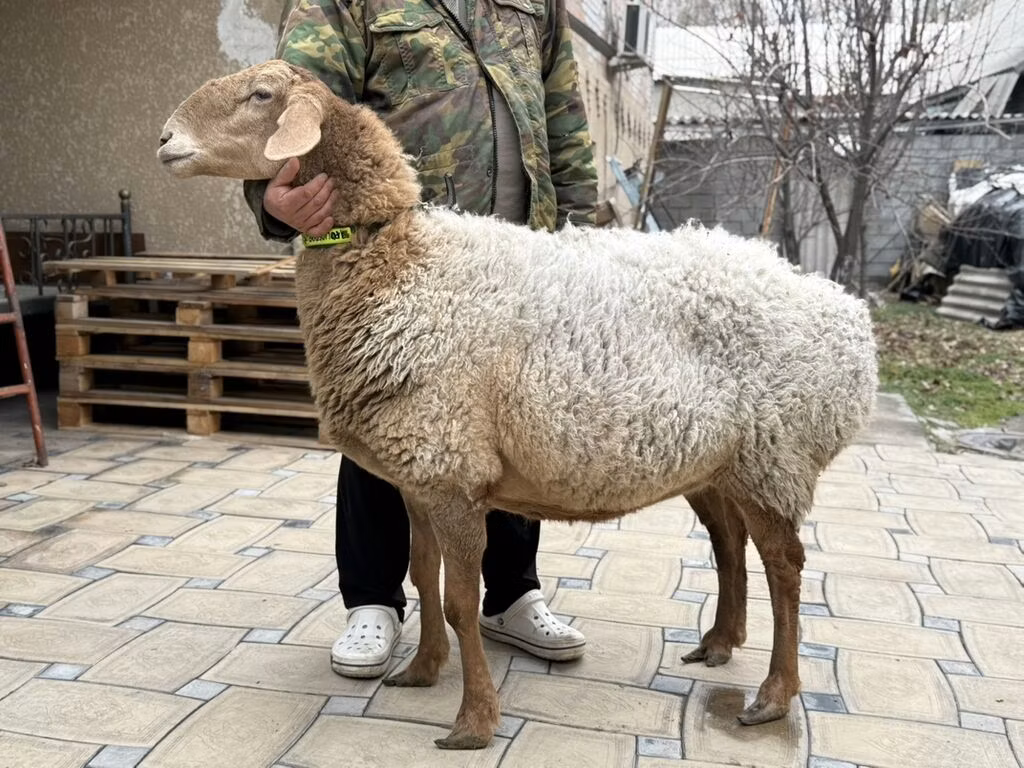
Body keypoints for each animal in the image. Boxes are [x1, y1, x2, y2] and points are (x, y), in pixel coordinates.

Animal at [158, 60, 878, 750]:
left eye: (260, 95)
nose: (164, 139)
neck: (401, 262)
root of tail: (849, 319)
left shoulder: (453, 473)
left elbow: (458, 601)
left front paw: (473, 723)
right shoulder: (421, 473)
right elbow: (420, 577)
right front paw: (421, 672)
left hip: (775, 455)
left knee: (785, 567)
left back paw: (773, 696)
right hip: (717, 462)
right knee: (730, 543)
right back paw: (718, 644)